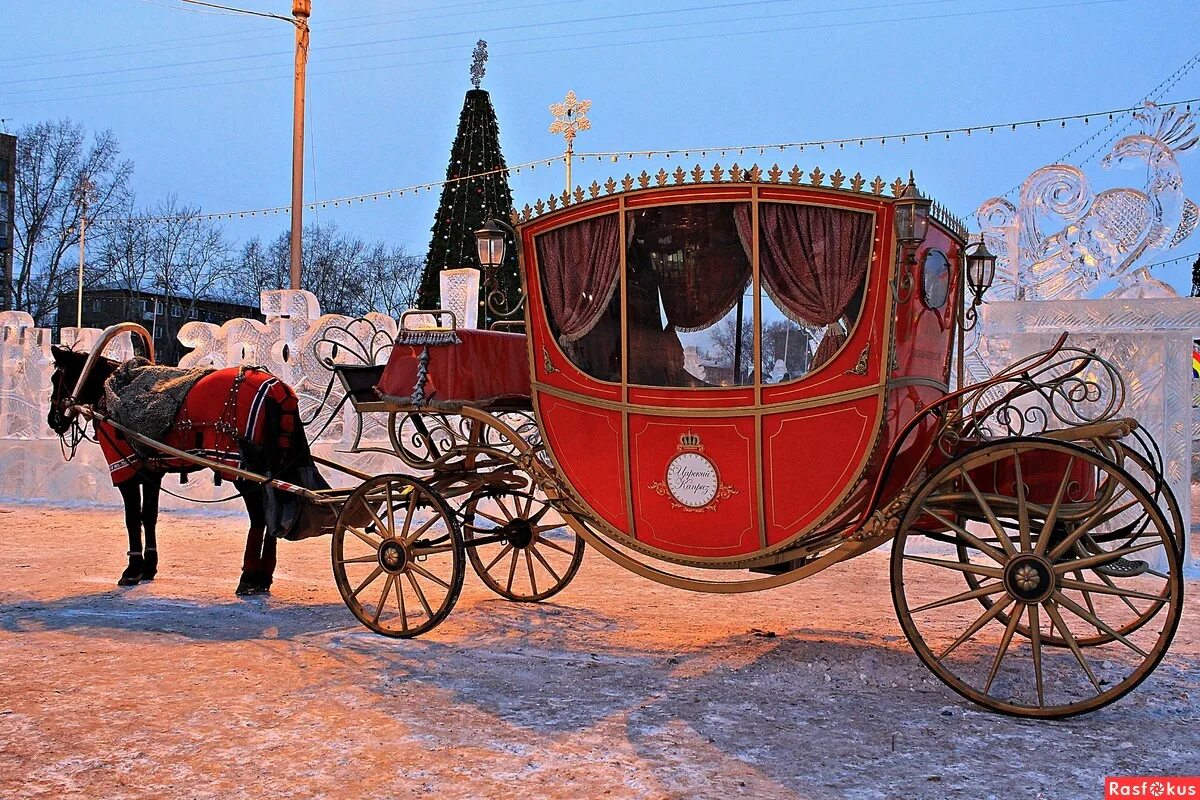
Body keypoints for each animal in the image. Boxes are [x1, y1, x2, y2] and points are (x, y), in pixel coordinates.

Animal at [46, 347, 336, 597]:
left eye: (55, 378)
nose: (52, 420)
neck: (108, 391)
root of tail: (277, 388)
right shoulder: (152, 471)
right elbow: (148, 515)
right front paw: (149, 566)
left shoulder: (125, 465)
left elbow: (132, 518)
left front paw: (132, 569)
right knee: (273, 513)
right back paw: (263, 576)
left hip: (244, 471)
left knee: (260, 518)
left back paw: (250, 577)